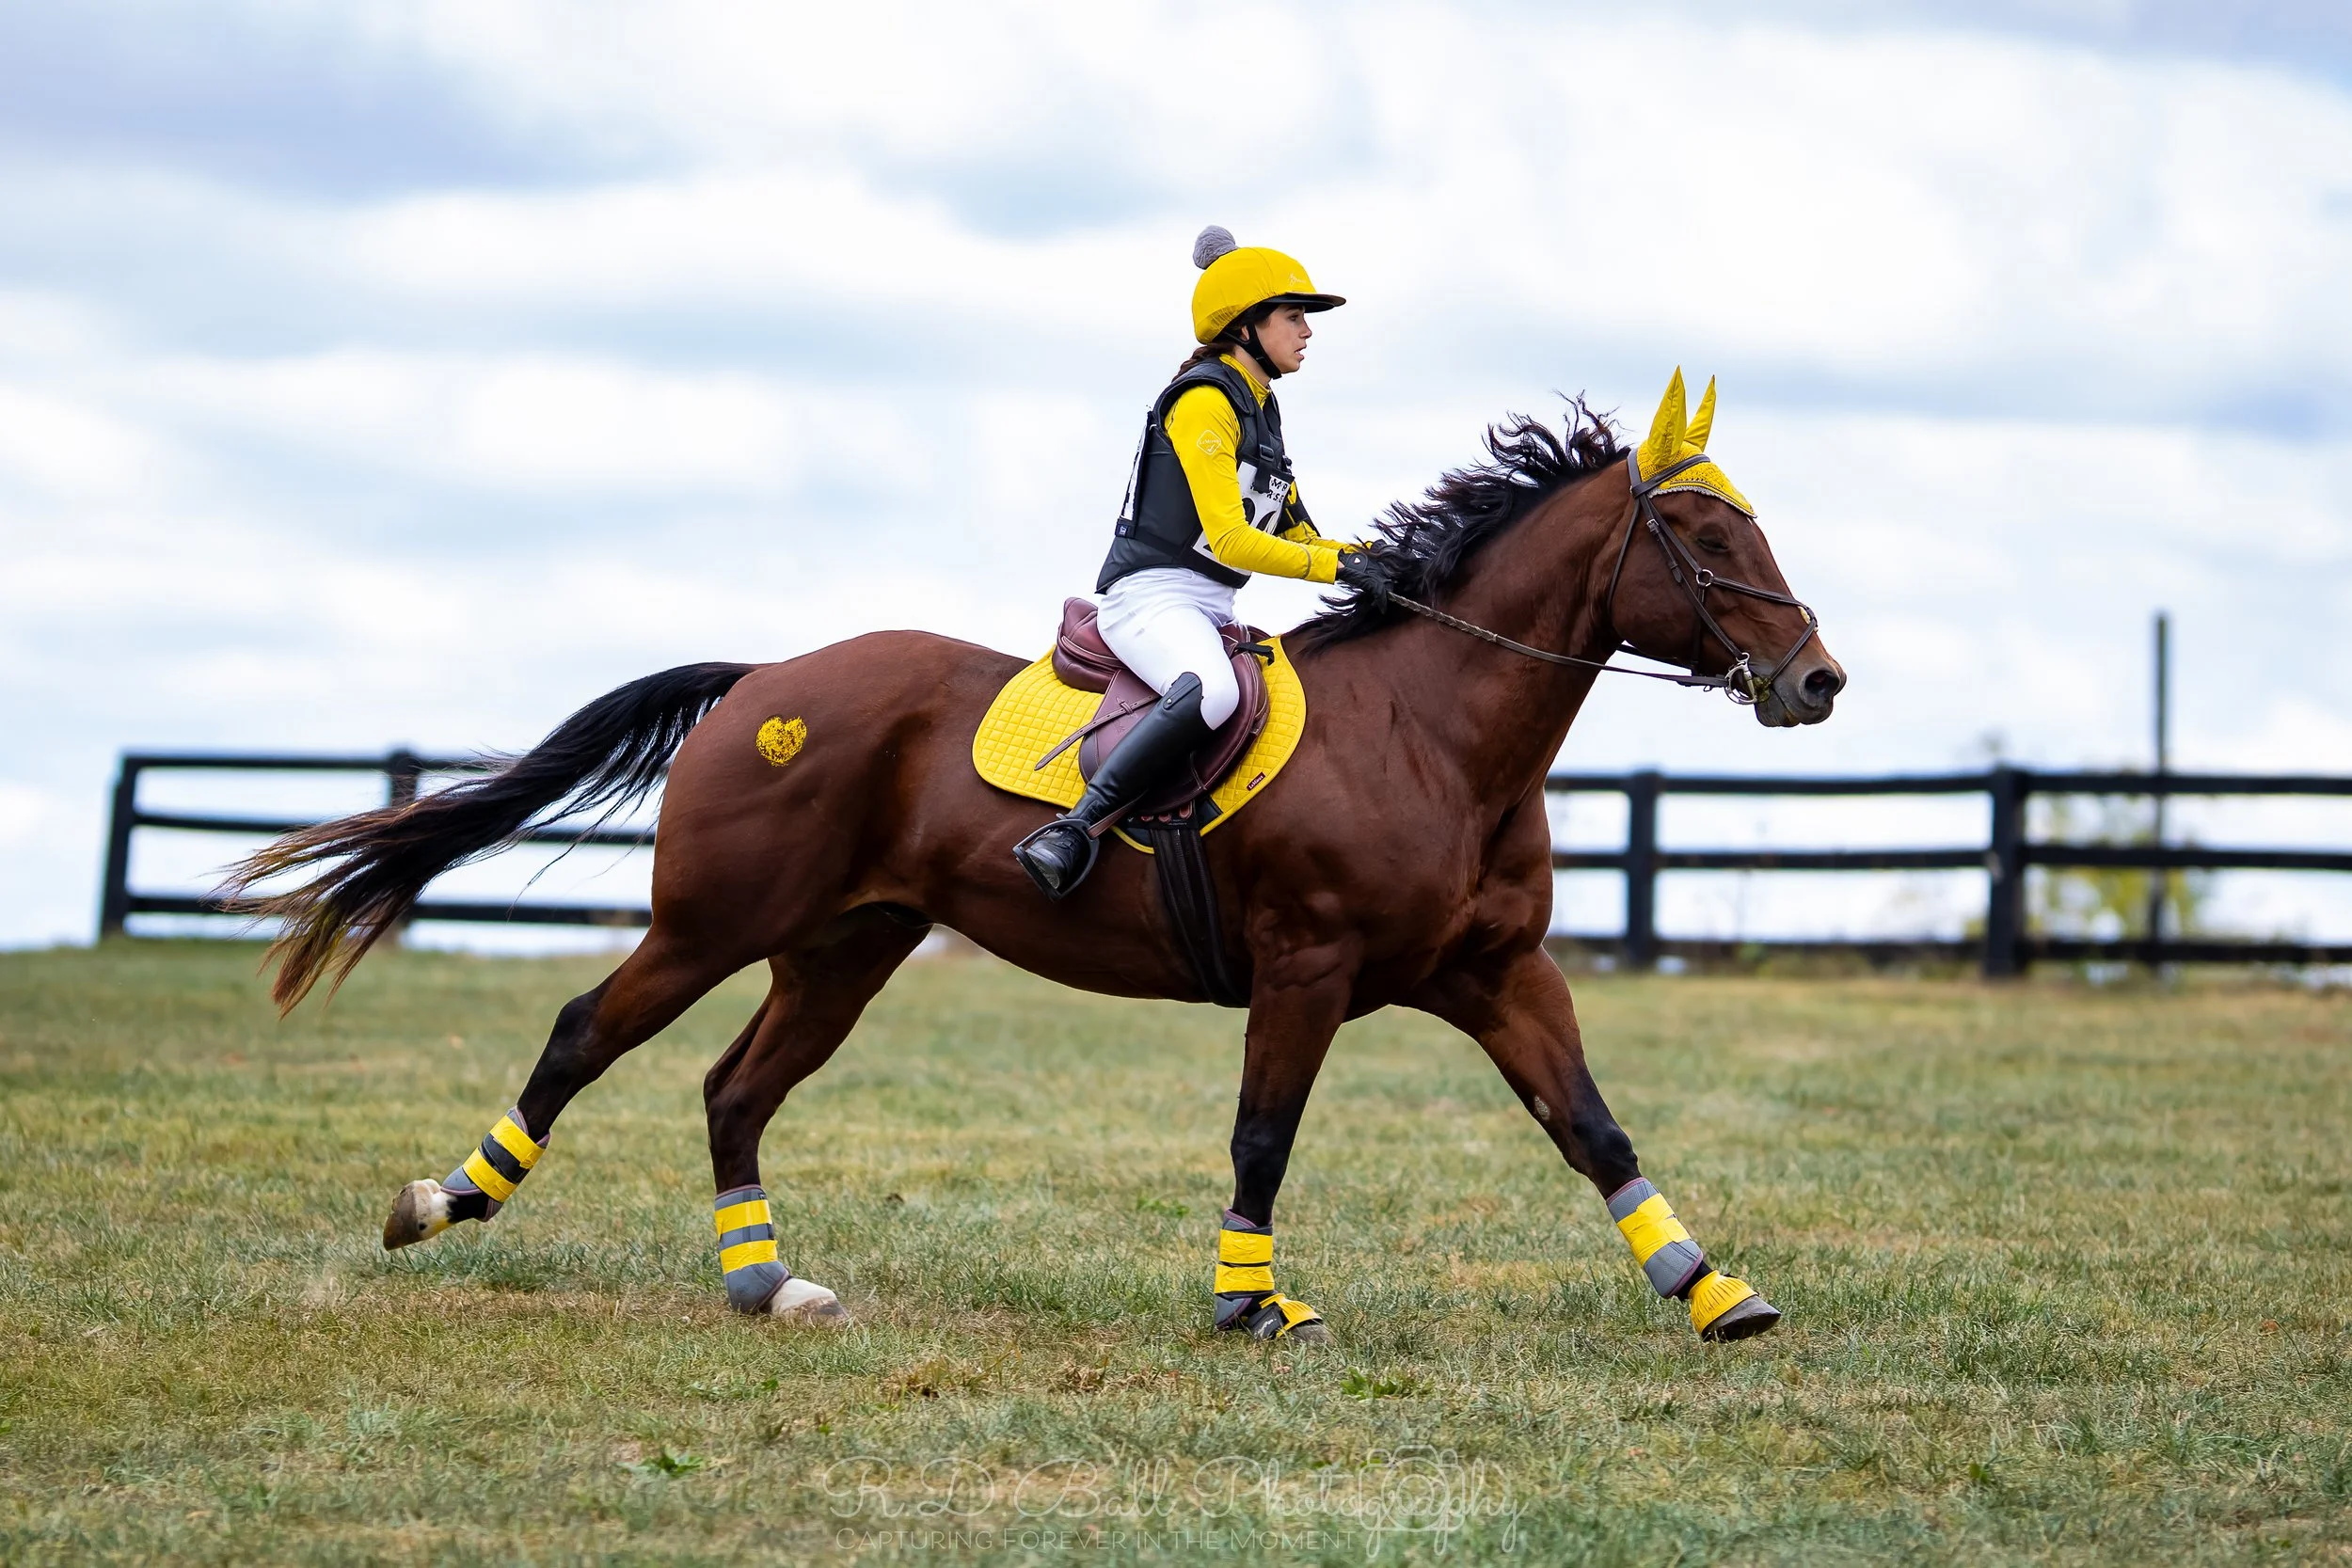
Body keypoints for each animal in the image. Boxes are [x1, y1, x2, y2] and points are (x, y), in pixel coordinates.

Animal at [227, 370, 1843, 1342]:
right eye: (1705, 534)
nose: (1818, 679)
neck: (1438, 734)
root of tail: (765, 678)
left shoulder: (1499, 971)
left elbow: (1595, 1127)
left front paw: (1714, 1290)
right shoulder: (1305, 967)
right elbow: (1263, 1137)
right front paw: (1250, 1307)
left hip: (844, 947)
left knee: (734, 1087)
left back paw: (768, 1281)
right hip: (714, 924)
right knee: (584, 1032)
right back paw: (446, 1200)